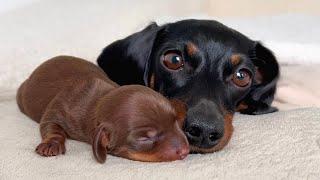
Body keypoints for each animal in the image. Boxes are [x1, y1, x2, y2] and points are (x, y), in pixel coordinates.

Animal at [16, 55, 189, 162]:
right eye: (144, 139)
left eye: (176, 123)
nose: (186, 151)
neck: (100, 98)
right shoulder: (58, 111)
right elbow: (51, 126)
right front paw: (51, 144)